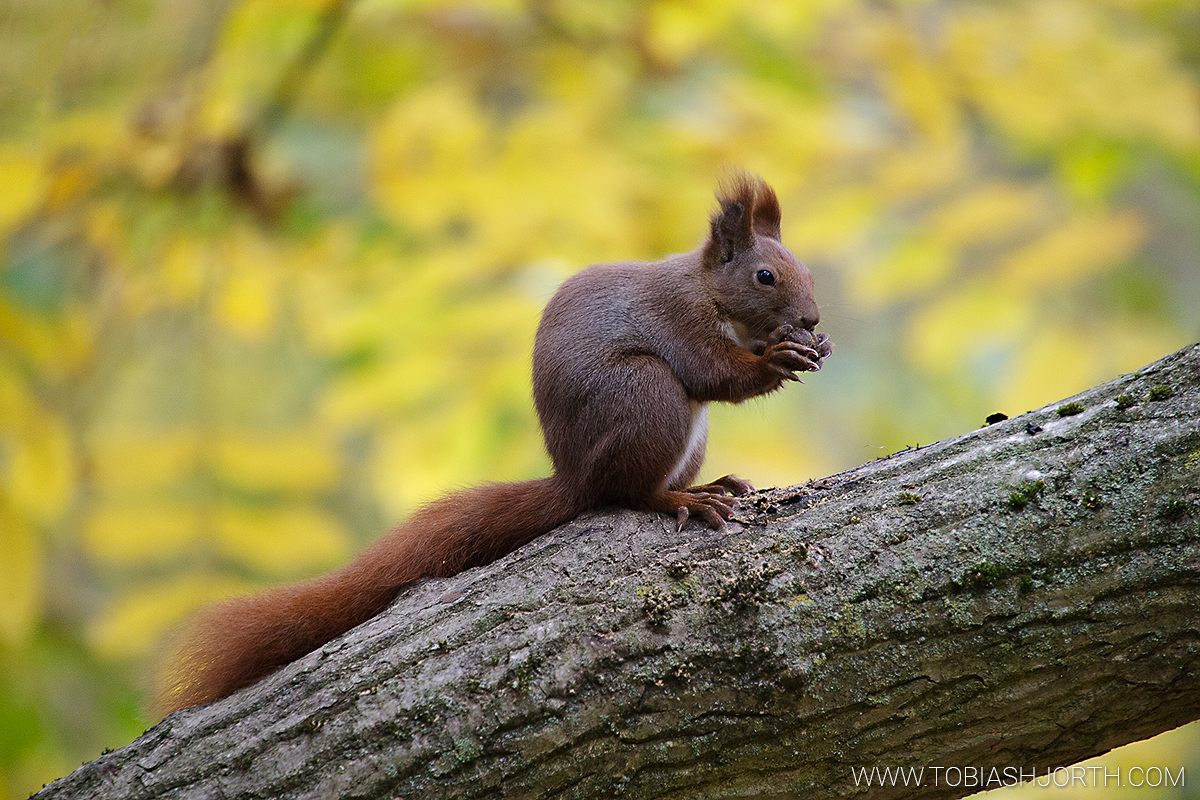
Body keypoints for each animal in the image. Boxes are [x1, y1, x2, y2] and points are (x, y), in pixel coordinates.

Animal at [157, 173, 835, 714]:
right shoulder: (680, 322)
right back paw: (681, 501)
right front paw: (777, 359)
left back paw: (709, 483)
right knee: (628, 492)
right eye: (765, 276)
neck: (711, 295)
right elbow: (715, 374)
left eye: (803, 269)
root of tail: (573, 475)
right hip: (649, 397)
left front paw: (808, 348)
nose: (812, 320)